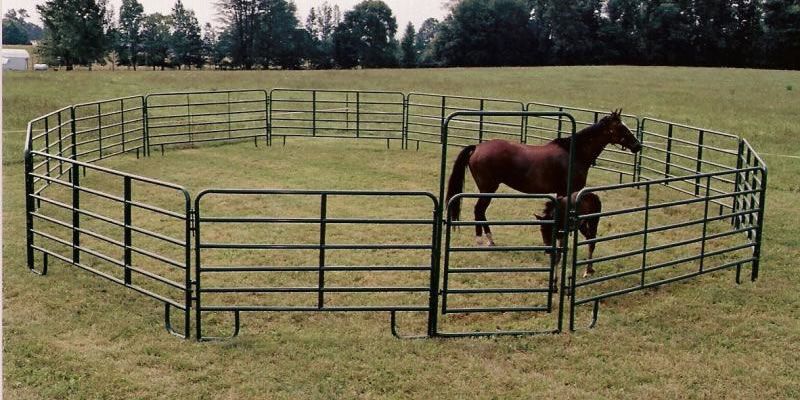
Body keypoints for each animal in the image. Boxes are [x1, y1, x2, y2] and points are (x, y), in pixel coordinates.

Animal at [446, 110, 640, 247]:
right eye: (622, 127)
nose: (637, 145)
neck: (574, 153)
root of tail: (477, 147)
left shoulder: (561, 193)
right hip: (488, 188)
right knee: (479, 210)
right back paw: (483, 240)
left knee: (481, 211)